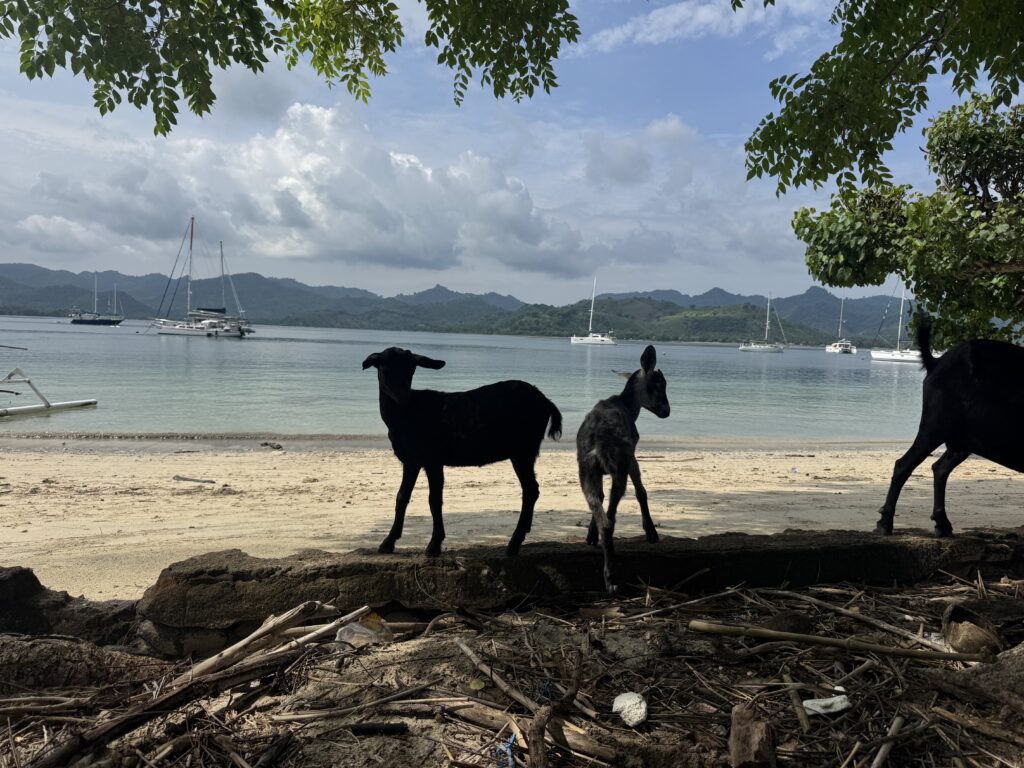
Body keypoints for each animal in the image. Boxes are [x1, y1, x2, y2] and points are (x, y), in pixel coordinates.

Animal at [362, 347, 562, 556]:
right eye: (384, 369)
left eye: (411, 370)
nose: (403, 398)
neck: (405, 416)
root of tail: (546, 401)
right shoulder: (415, 460)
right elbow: (403, 496)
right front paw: (389, 543)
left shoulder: (431, 458)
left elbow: (433, 499)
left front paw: (432, 545)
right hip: (523, 451)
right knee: (531, 489)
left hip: (523, 450)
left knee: (530, 490)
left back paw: (514, 543)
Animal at [577, 345, 670, 592]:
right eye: (660, 384)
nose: (666, 411)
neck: (628, 406)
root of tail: (597, 442)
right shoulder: (632, 455)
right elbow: (641, 490)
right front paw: (651, 532)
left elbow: (599, 498)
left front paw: (590, 536)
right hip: (619, 464)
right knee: (610, 520)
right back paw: (611, 577)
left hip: (586, 468)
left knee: (599, 508)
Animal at [876, 319, 1024, 536]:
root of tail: (936, 362)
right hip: (934, 427)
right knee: (904, 465)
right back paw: (885, 522)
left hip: (962, 440)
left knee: (940, 468)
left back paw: (942, 523)